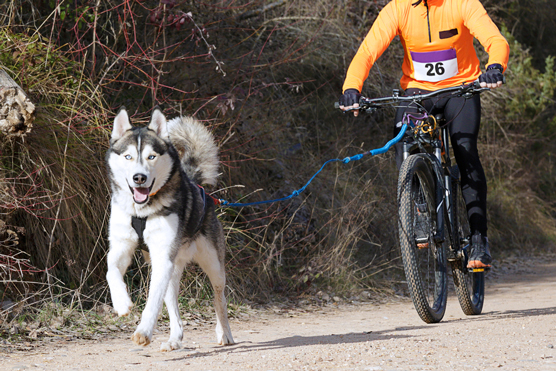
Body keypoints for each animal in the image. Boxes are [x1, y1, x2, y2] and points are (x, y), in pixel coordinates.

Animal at [105, 107, 233, 352]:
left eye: (151, 156)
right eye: (128, 156)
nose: (139, 177)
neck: (142, 212)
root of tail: (198, 186)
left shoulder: (162, 257)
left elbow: (152, 302)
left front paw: (143, 331)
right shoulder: (122, 247)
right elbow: (110, 271)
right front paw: (122, 303)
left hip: (213, 266)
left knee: (219, 298)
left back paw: (225, 333)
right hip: (171, 270)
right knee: (174, 307)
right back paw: (175, 339)